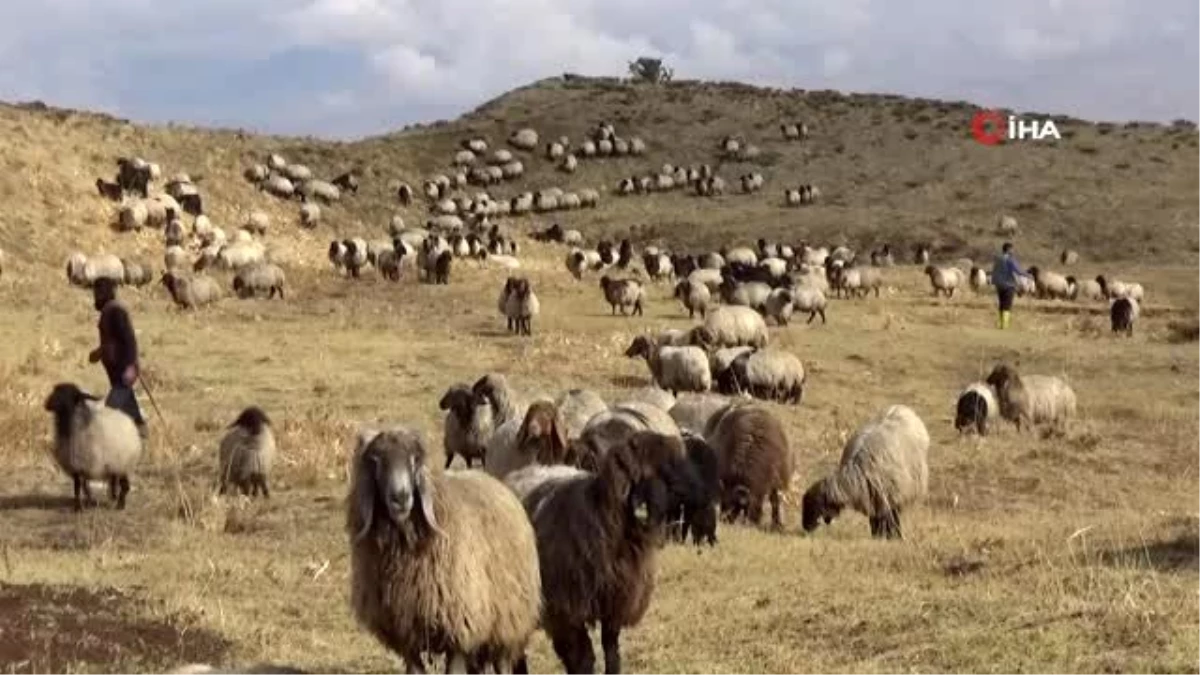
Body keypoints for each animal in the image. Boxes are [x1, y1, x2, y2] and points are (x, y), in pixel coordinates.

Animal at [343, 425, 540, 672]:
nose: (400, 497)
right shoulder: (407, 637)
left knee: (503, 662)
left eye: (414, 459)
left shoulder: (461, 629)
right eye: (376, 460)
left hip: (508, 620)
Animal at [513, 429, 700, 672]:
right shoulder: (569, 609)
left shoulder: (614, 603)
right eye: (663, 466)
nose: (699, 490)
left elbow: (611, 650)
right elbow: (583, 657)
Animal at [801, 401, 931, 538]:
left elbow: (891, 518)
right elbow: (875, 521)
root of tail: (900, 408)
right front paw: (877, 536)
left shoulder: (888, 494)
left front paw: (893, 536)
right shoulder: (872, 497)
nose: (805, 528)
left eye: (813, 505)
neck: (856, 475)